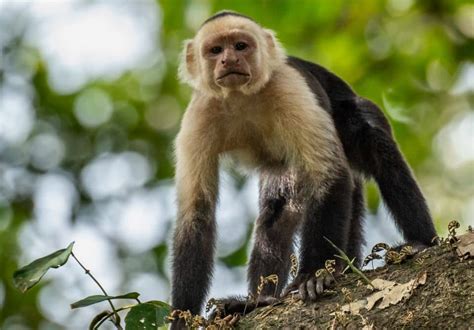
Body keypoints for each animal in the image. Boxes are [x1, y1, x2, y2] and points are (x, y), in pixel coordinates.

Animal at [170, 9, 436, 324]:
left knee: (372, 142)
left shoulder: (287, 84)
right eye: (215, 50)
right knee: (278, 209)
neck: (241, 97)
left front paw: (313, 275)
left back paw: (419, 241)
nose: (229, 60)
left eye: (240, 46)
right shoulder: (198, 116)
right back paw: (259, 301)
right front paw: (182, 319)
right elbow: (197, 215)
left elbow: (329, 174)